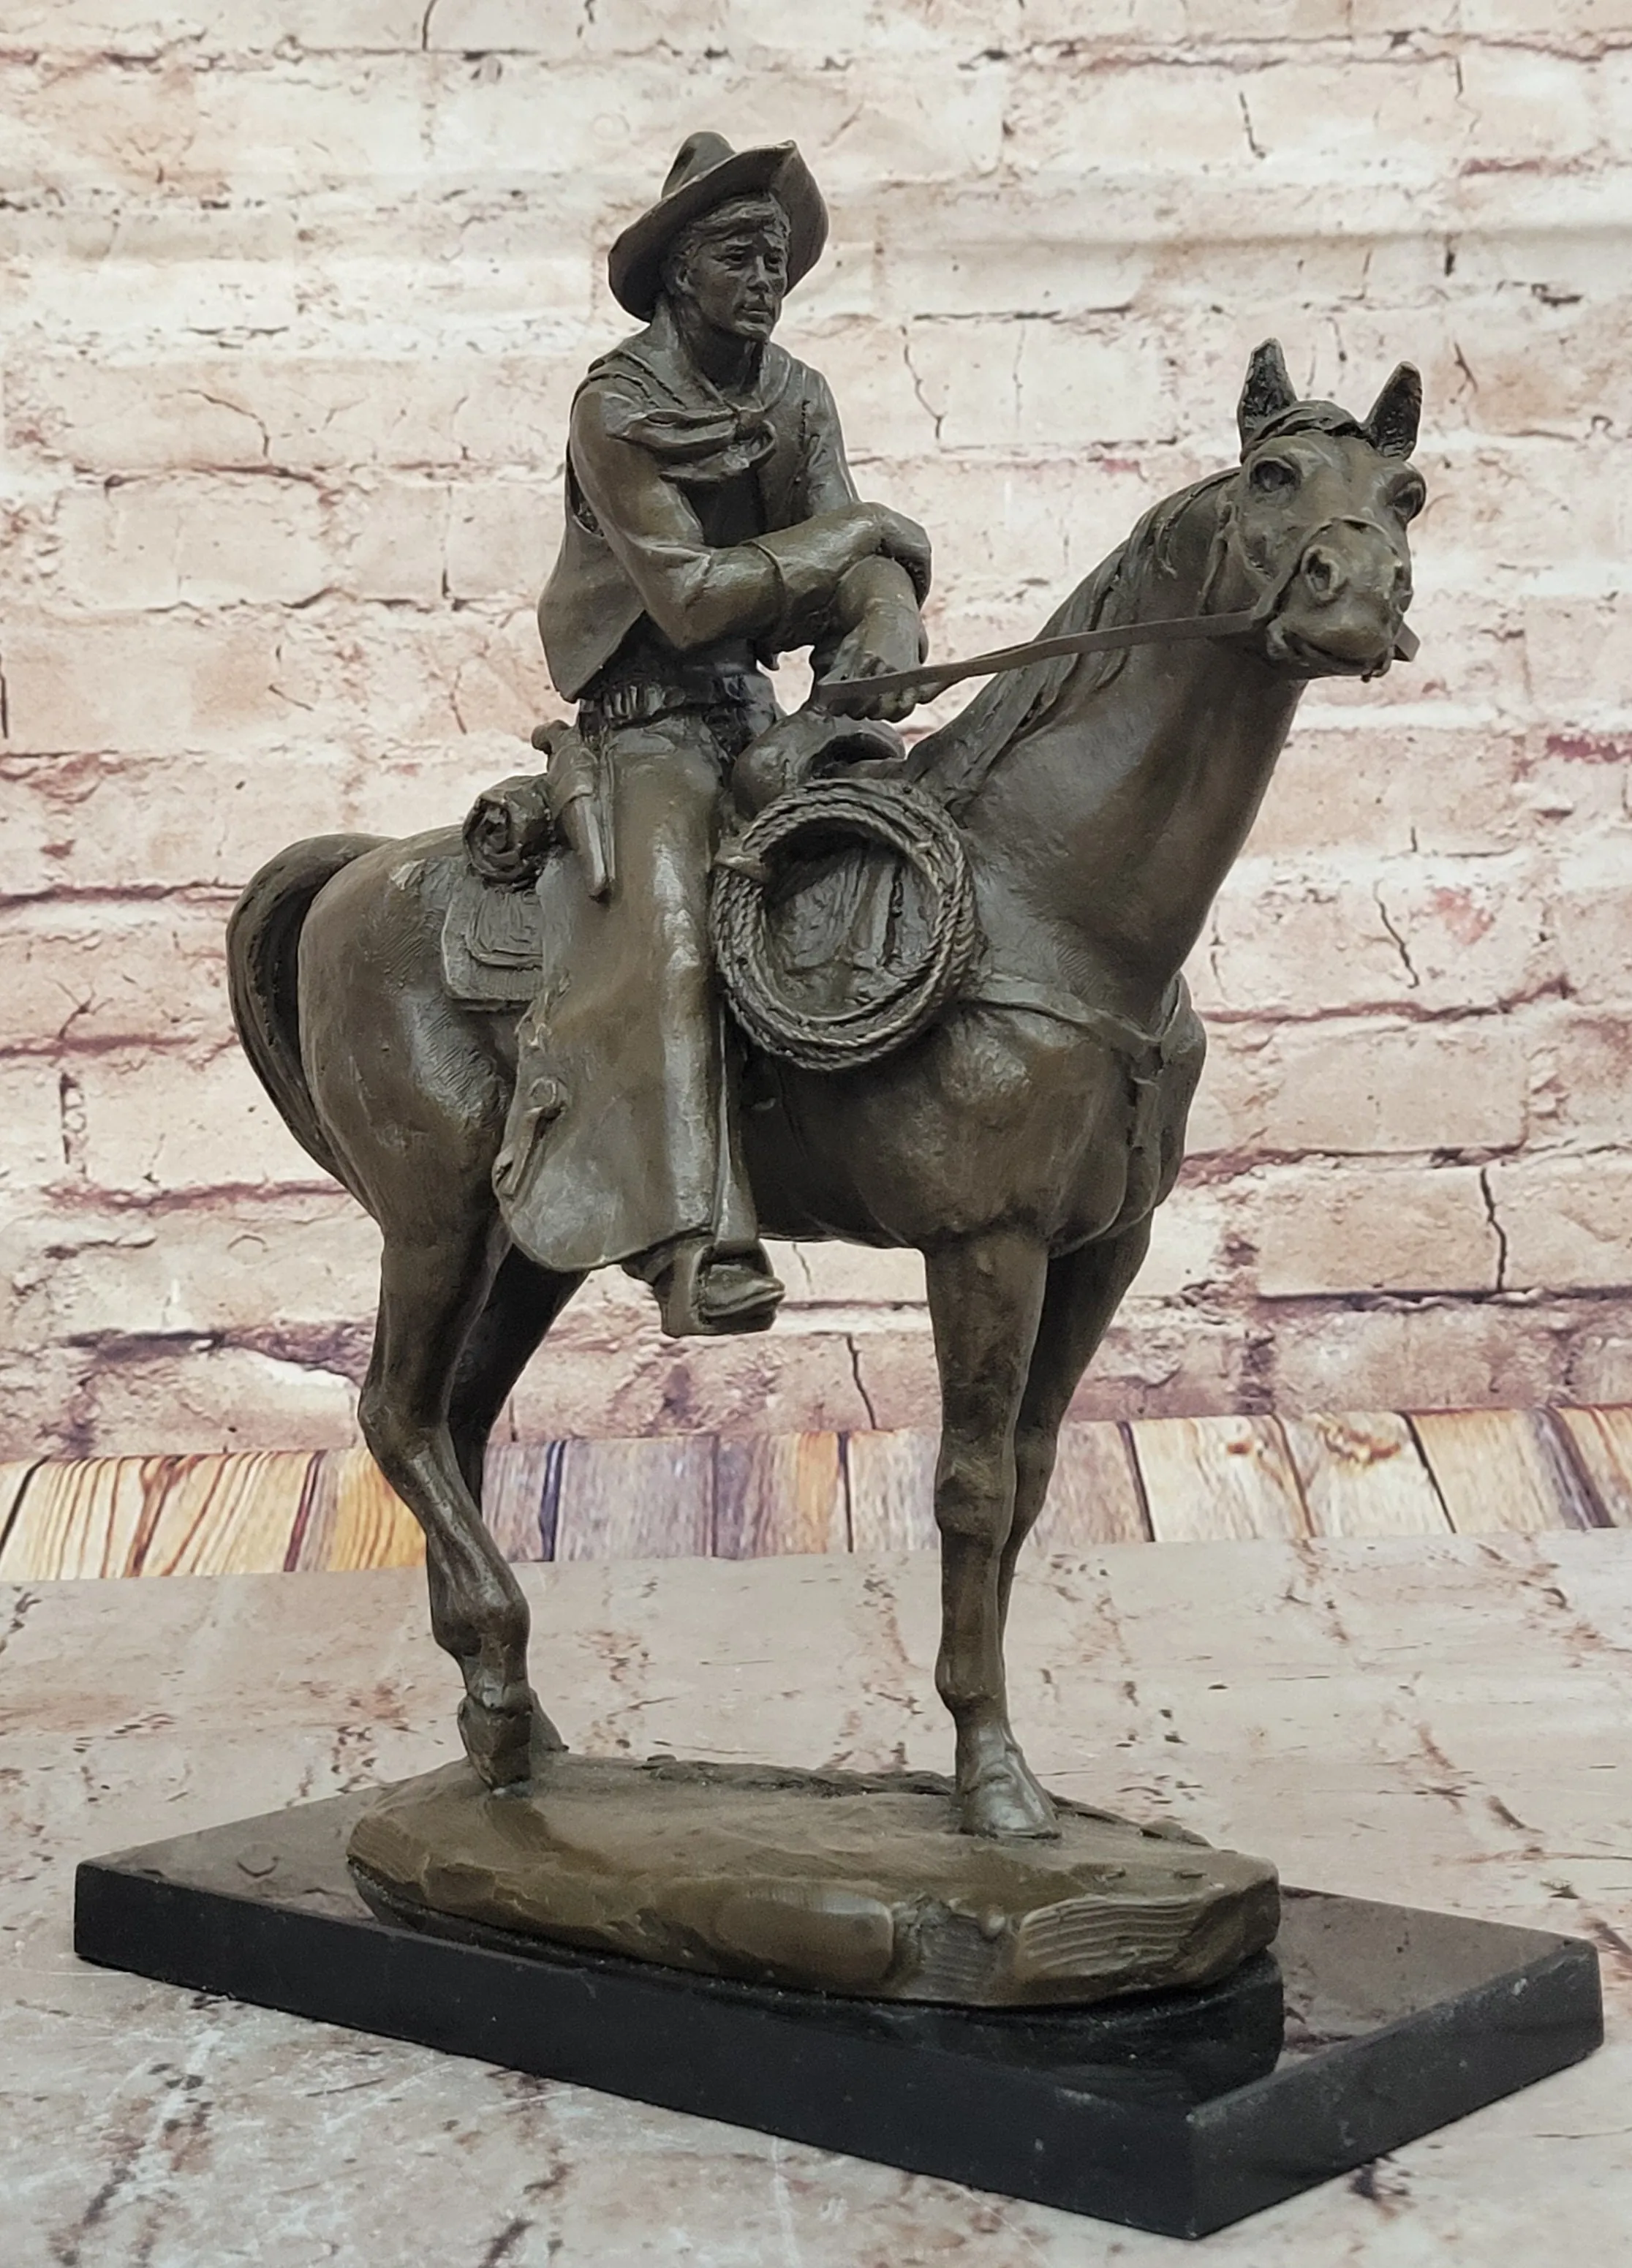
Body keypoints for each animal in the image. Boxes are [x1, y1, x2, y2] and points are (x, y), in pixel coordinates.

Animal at [232, 349, 1432, 1842]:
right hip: (435, 1218)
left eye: (1407, 492)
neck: (1048, 900)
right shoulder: (985, 1247)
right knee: (395, 1415)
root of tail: (354, 871)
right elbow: (971, 1487)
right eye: (1273, 475)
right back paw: (503, 1697)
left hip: (534, 1240)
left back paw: (511, 1727)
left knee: (453, 1419)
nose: (1361, 597)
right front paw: (993, 1775)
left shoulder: (1104, 1251)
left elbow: (1033, 1475)